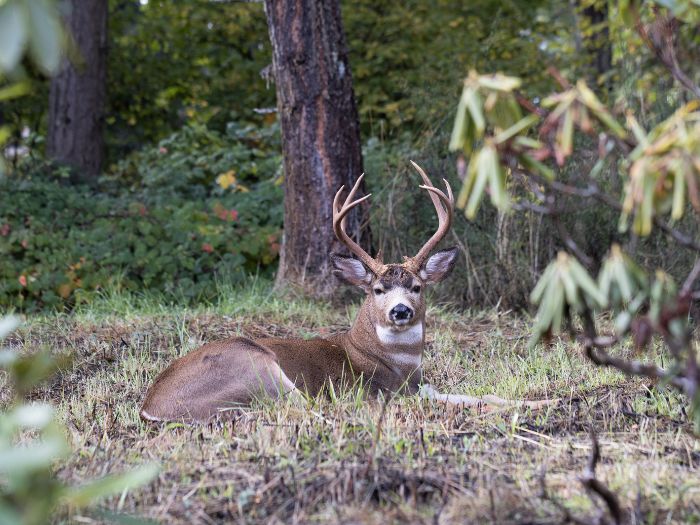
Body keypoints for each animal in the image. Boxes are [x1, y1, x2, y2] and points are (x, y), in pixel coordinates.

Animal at [141, 162, 556, 420]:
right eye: (377, 289)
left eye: (417, 286)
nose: (401, 311)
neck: (398, 366)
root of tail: (152, 406)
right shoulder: (380, 392)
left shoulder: (423, 387)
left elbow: (480, 395)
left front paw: (542, 400)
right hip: (256, 365)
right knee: (302, 407)